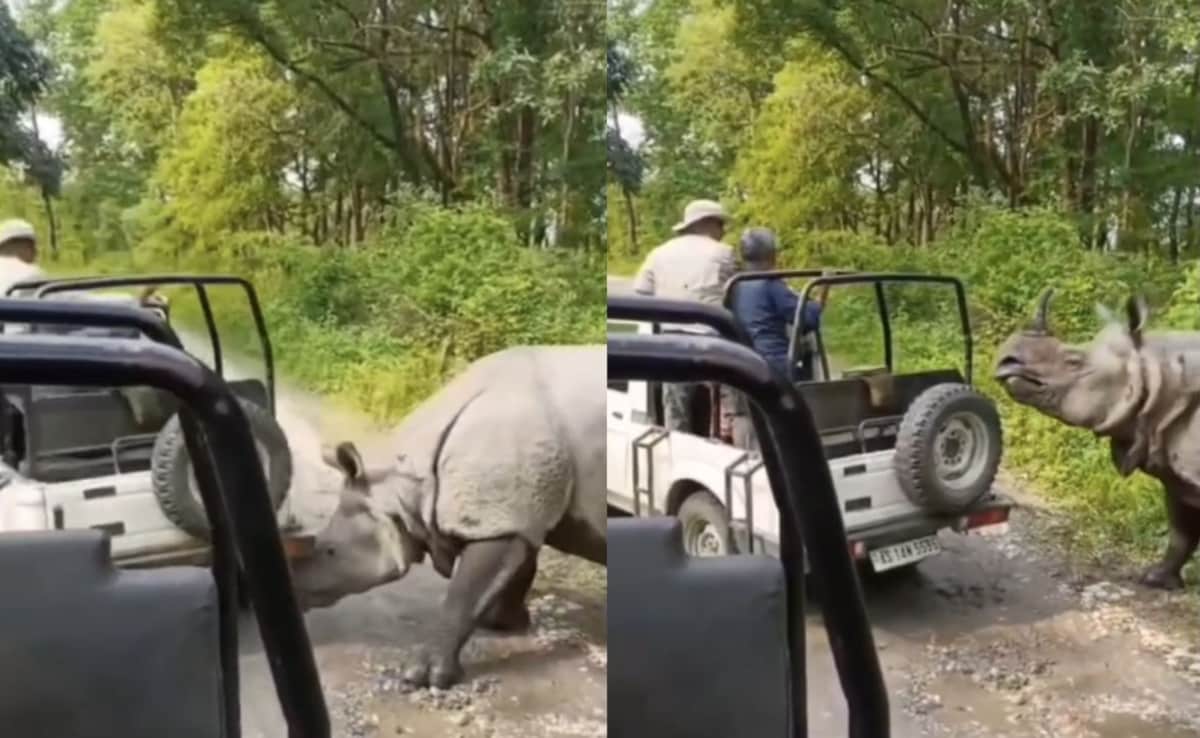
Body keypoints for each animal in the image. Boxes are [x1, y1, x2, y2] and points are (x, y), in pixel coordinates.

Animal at [289, 344, 606, 688]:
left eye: (330, 551)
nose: (297, 591)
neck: (401, 487)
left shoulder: (501, 519)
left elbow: (462, 596)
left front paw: (427, 676)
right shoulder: (512, 513)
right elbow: (519, 570)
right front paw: (505, 623)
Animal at [995, 289, 1200, 590]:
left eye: (1073, 362)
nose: (1006, 360)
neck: (1155, 372)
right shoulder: (1174, 465)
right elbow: (1181, 533)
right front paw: (1155, 579)